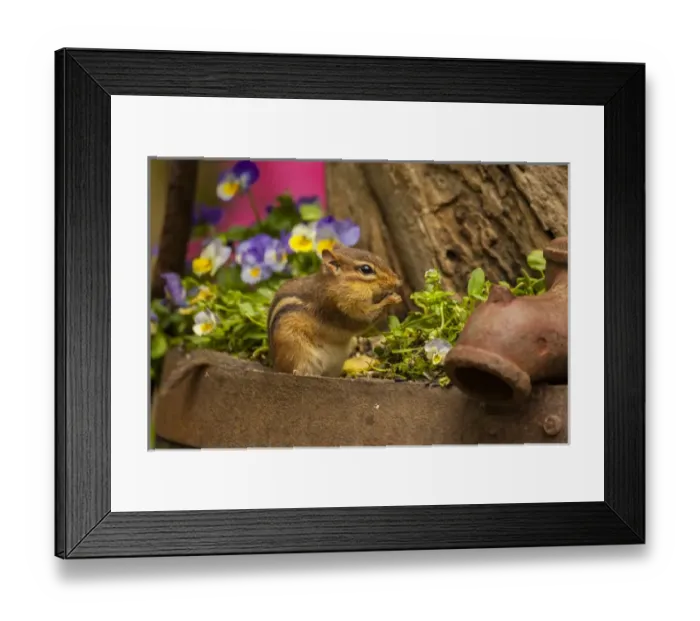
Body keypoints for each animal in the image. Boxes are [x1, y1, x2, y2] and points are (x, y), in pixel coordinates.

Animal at [267, 245, 403, 377]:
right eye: (366, 269)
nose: (397, 281)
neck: (332, 286)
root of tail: (276, 366)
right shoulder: (341, 310)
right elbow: (364, 319)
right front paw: (390, 299)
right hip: (297, 350)